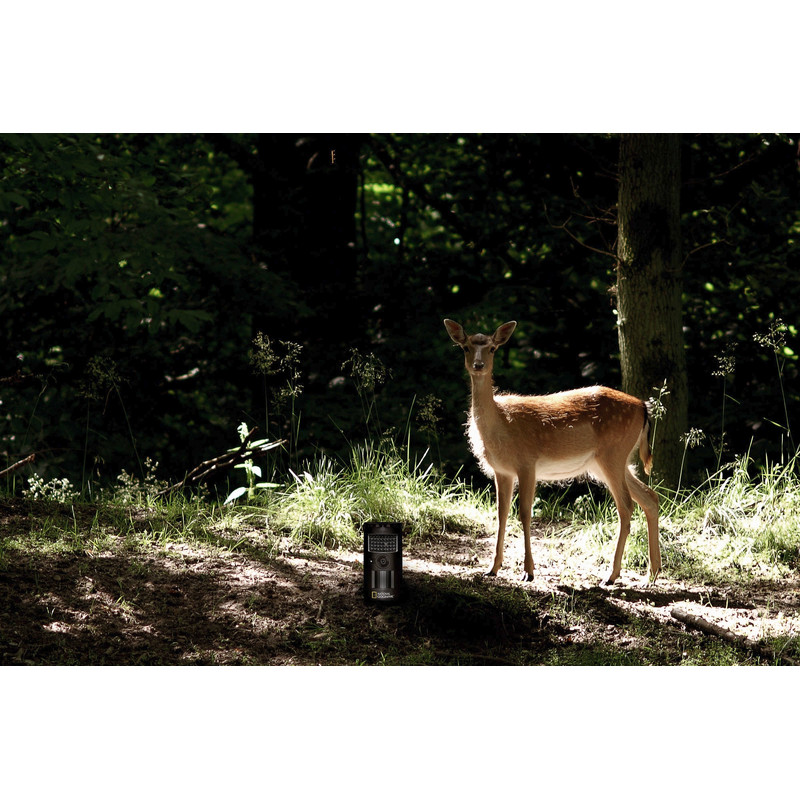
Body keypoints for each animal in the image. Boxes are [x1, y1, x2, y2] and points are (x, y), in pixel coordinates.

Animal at [440, 318, 660, 588]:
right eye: (466, 347)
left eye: (492, 348)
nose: (478, 365)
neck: (501, 424)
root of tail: (643, 407)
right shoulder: (502, 471)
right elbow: (501, 514)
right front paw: (492, 568)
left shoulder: (527, 463)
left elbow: (525, 513)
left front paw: (528, 571)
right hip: (608, 462)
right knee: (650, 497)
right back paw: (652, 575)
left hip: (613, 454)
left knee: (626, 506)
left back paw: (611, 575)